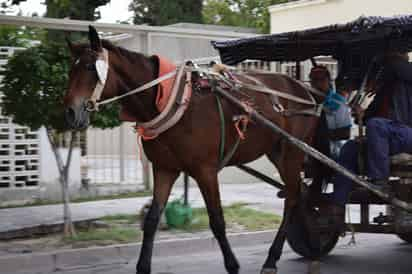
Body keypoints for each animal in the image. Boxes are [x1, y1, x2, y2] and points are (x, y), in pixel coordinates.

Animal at [64, 26, 326, 274]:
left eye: (89, 67)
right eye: (71, 70)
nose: (69, 111)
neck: (172, 101)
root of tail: (306, 92)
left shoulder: (205, 171)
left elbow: (217, 221)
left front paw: (232, 265)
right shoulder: (165, 169)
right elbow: (151, 220)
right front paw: (142, 266)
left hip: (293, 150)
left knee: (292, 197)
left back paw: (273, 257)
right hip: (277, 150)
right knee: (298, 194)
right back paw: (310, 242)